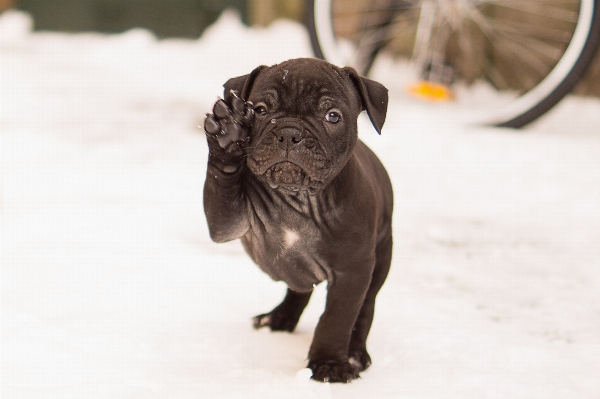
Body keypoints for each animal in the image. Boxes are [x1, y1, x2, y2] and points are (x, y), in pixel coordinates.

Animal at [204, 57, 394, 382]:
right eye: (260, 110)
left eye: (332, 116)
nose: (290, 133)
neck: (298, 196)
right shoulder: (226, 221)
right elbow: (221, 183)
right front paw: (227, 136)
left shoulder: (352, 271)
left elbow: (337, 318)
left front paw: (329, 364)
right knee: (299, 289)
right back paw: (279, 318)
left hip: (380, 260)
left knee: (365, 307)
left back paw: (355, 353)